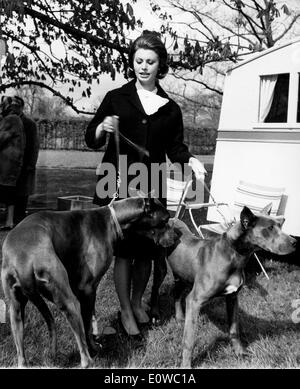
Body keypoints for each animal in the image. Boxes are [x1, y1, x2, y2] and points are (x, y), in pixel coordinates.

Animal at [0, 197, 176, 366]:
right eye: (166, 219)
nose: (176, 238)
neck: (112, 219)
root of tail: (23, 261)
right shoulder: (88, 289)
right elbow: (87, 325)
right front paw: (93, 347)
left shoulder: (87, 291)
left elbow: (91, 319)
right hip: (70, 302)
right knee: (85, 359)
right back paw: (89, 358)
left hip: (15, 310)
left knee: (21, 355)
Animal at [151, 206, 296, 366]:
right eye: (269, 228)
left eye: (281, 224)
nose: (295, 242)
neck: (233, 254)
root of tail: (171, 219)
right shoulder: (195, 301)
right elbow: (189, 340)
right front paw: (186, 365)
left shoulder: (232, 297)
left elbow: (234, 330)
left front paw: (239, 352)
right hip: (161, 269)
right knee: (154, 291)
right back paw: (155, 316)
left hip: (182, 274)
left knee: (176, 294)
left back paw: (179, 318)